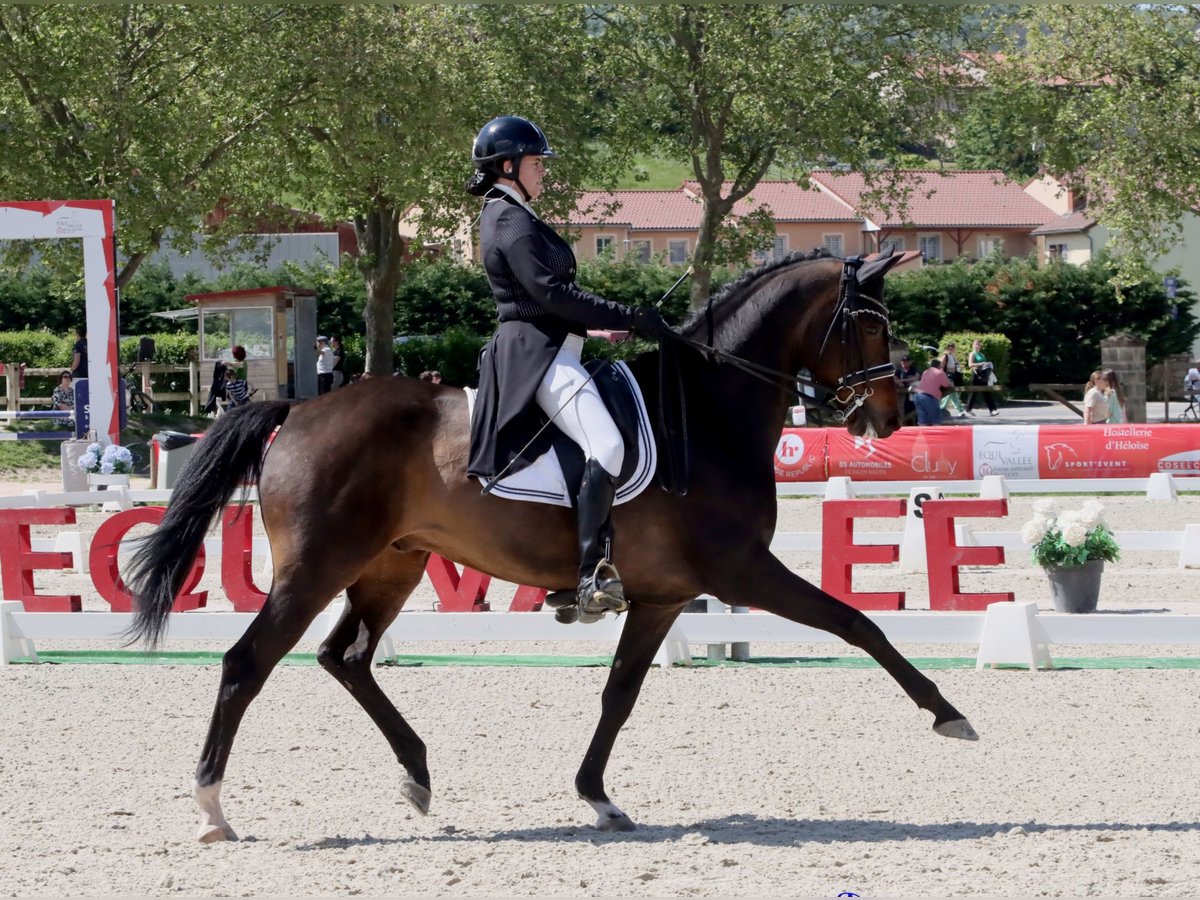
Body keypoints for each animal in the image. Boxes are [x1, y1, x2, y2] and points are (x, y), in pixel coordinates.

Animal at [126, 248, 979, 844]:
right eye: (871, 323)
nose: (892, 415)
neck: (708, 411)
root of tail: (298, 411)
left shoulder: (664, 595)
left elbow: (620, 693)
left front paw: (598, 797)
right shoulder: (743, 570)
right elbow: (857, 622)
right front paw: (948, 714)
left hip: (391, 564)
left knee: (348, 658)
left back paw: (418, 773)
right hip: (316, 567)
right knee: (248, 663)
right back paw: (212, 810)